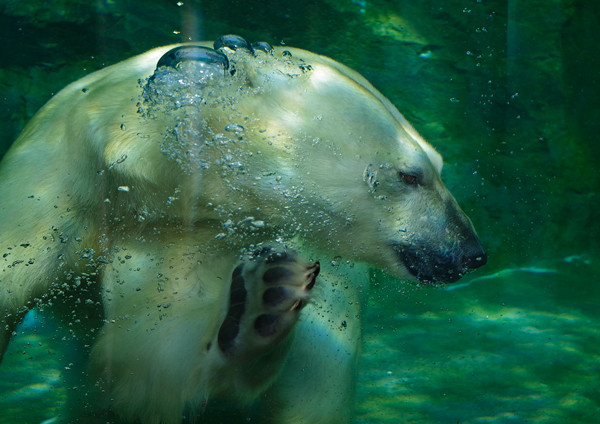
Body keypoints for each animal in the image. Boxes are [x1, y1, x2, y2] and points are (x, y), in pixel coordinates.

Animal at [0, 34, 486, 422]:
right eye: (409, 175)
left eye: (438, 166)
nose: (471, 251)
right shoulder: (59, 183)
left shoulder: (209, 232)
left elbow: (155, 348)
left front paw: (262, 303)